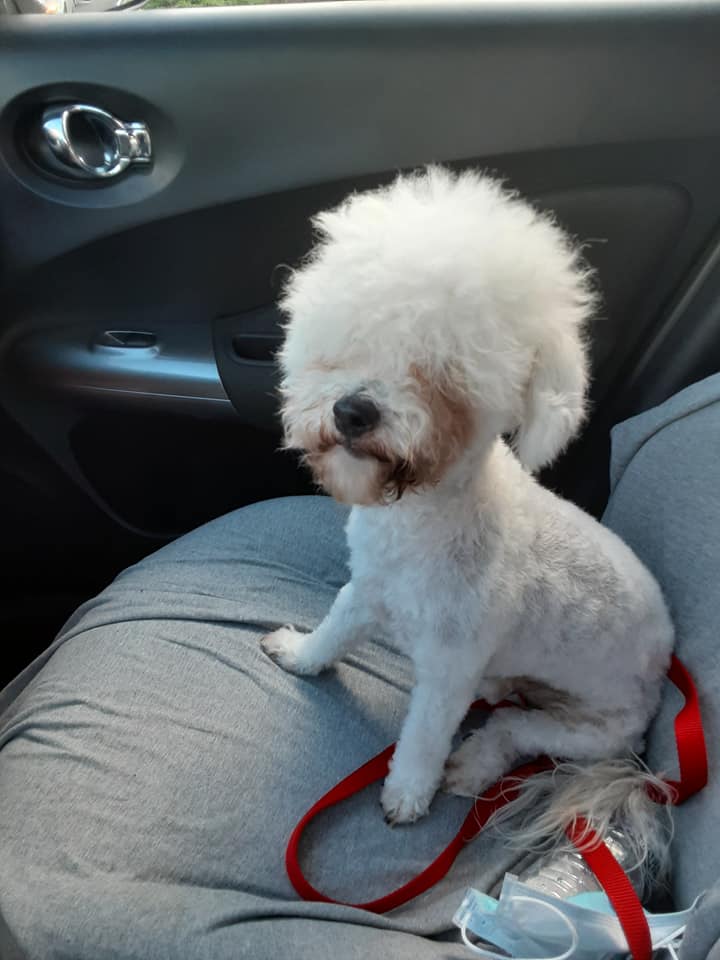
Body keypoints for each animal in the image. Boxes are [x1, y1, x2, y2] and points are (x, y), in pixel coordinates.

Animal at [262, 167, 676, 840]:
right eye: (352, 343)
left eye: (444, 377)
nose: (353, 411)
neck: (420, 517)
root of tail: (661, 675)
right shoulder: (366, 587)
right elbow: (334, 630)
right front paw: (302, 656)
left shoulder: (450, 668)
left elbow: (424, 740)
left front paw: (407, 794)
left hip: (594, 731)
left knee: (510, 729)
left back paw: (471, 765)